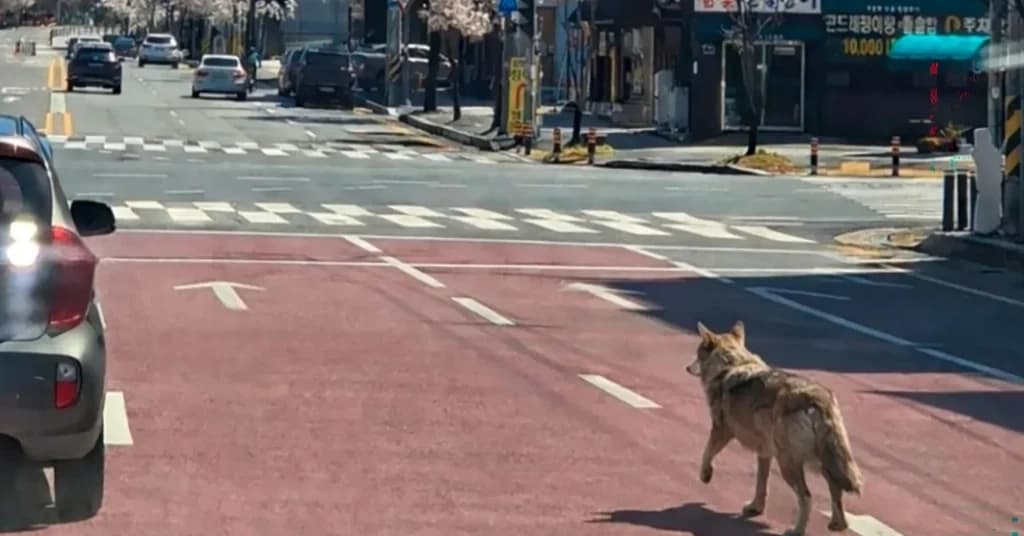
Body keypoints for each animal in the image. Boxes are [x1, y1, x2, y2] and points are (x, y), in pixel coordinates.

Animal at [685, 321, 863, 536]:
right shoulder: (764, 452)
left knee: (806, 497)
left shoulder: (721, 431)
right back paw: (838, 524)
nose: (686, 367)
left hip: (789, 464)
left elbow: (706, 453)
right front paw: (755, 508)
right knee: (835, 487)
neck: (731, 365)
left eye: (697, 353)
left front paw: (705, 475)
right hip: (819, 461)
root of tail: (818, 398)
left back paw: (797, 531)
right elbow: (761, 484)